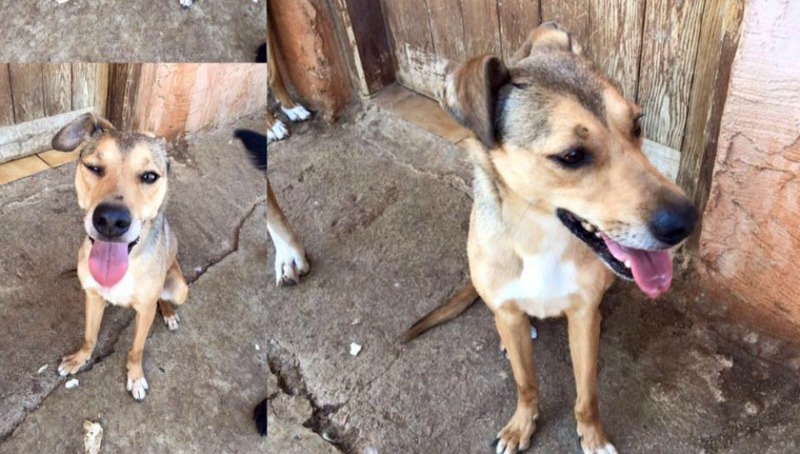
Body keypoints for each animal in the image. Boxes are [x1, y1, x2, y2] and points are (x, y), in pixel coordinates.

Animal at [54, 113, 189, 400]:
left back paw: (169, 312)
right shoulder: (92, 296)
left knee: (164, 297)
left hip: (179, 287)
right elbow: (90, 336)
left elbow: (136, 349)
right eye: (94, 168)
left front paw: (135, 377)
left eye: (149, 176)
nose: (111, 221)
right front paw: (80, 358)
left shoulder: (145, 310)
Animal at [404, 24, 696, 454]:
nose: (686, 222)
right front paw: (521, 424)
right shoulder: (511, 314)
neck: (539, 241)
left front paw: (593, 436)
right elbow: (526, 383)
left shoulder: (582, 317)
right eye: (572, 155)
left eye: (637, 124)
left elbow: (587, 393)